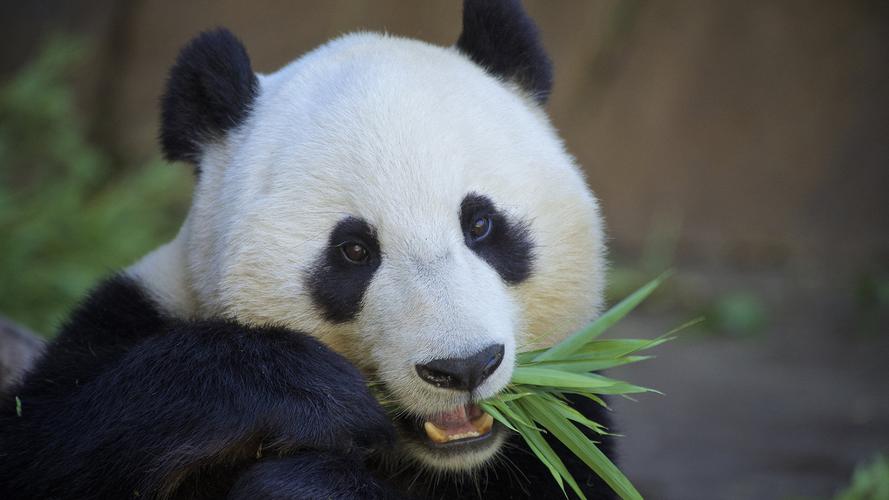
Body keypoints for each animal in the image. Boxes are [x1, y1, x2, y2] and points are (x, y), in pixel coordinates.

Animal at [0, 1, 616, 498]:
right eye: (354, 251)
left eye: (482, 225)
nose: (462, 367)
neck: (435, 460)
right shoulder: (134, 318)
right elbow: (47, 442)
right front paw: (316, 395)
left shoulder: (567, 430)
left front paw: (308, 482)